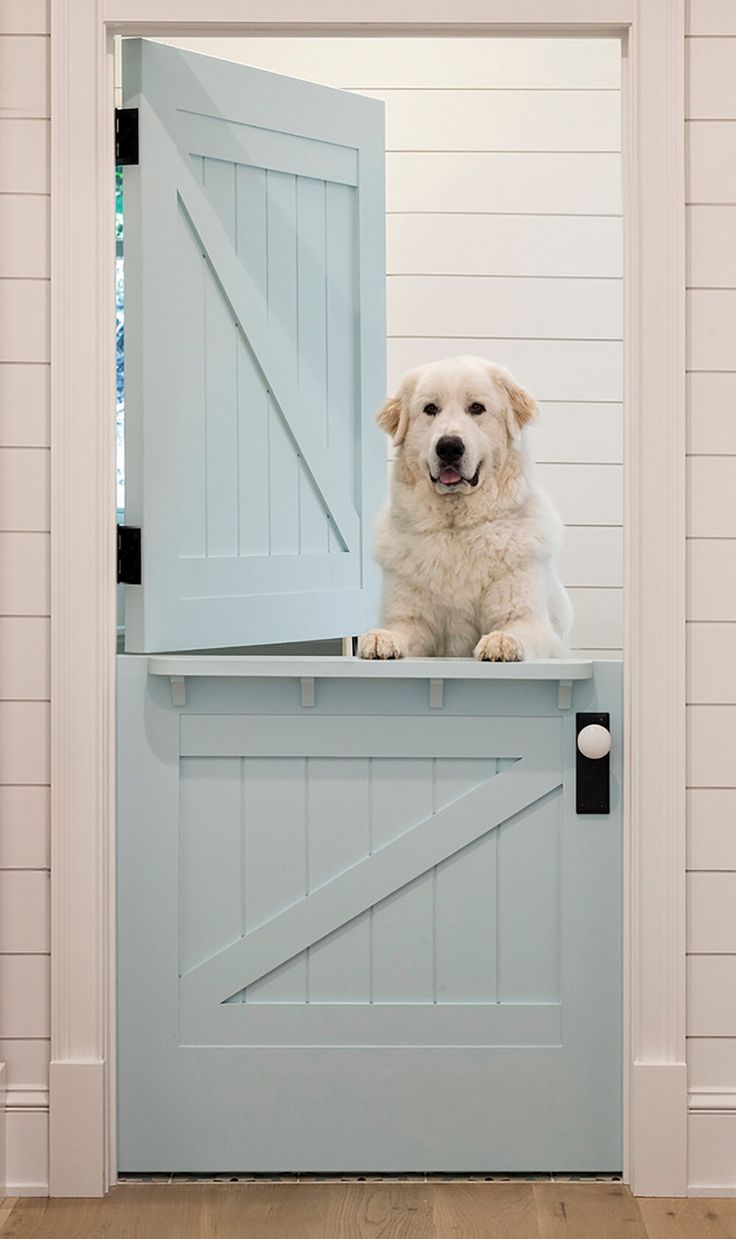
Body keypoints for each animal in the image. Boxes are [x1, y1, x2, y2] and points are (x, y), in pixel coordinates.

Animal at [359, 354, 569, 664]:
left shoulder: (528, 620)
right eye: (430, 409)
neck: (456, 528)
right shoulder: (413, 621)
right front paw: (381, 638)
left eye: (476, 408)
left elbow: (517, 630)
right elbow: (401, 630)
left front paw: (501, 642)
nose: (448, 447)